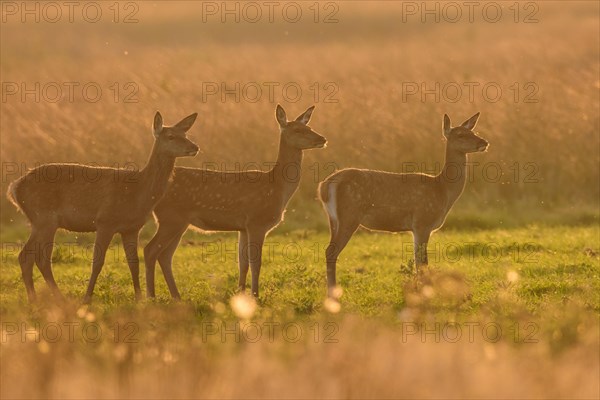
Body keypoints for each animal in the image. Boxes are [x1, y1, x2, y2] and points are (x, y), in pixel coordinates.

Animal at [7, 111, 199, 302]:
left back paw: (34, 299)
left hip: (39, 222)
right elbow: (98, 262)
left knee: (26, 256)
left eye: (185, 134)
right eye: (171, 136)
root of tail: (15, 188)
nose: (195, 147)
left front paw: (138, 298)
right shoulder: (105, 221)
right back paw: (57, 298)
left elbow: (134, 262)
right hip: (45, 219)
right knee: (40, 258)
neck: (138, 191)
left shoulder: (132, 228)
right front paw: (87, 298)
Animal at [143, 104, 326, 298]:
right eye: (298, 130)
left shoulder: (243, 228)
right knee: (150, 250)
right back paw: (151, 296)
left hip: (178, 222)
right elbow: (256, 263)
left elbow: (243, 263)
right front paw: (255, 296)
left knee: (165, 255)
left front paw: (241, 294)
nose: (322, 138)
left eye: (309, 127)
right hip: (171, 218)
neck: (277, 188)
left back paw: (176, 297)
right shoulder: (257, 222)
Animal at [318, 112, 488, 296]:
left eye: (474, 132)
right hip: (349, 214)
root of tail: (324, 186)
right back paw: (333, 294)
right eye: (461, 135)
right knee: (331, 251)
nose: (483, 142)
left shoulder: (416, 227)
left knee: (329, 250)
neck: (443, 190)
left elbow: (418, 261)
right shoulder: (422, 222)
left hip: (333, 219)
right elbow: (422, 263)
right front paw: (425, 291)